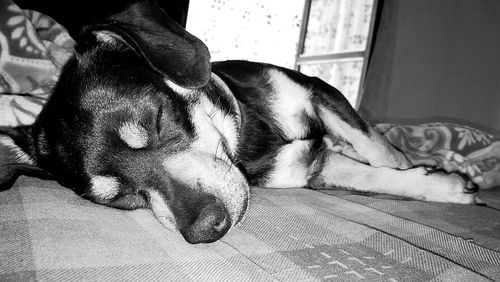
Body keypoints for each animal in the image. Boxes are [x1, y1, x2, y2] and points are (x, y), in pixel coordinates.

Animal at [0, 2, 478, 243]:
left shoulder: (317, 89)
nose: (206, 230)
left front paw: (432, 176)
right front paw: (440, 184)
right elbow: (370, 175)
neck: (251, 137)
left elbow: (379, 152)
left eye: (155, 121)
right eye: (123, 199)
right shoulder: (308, 169)